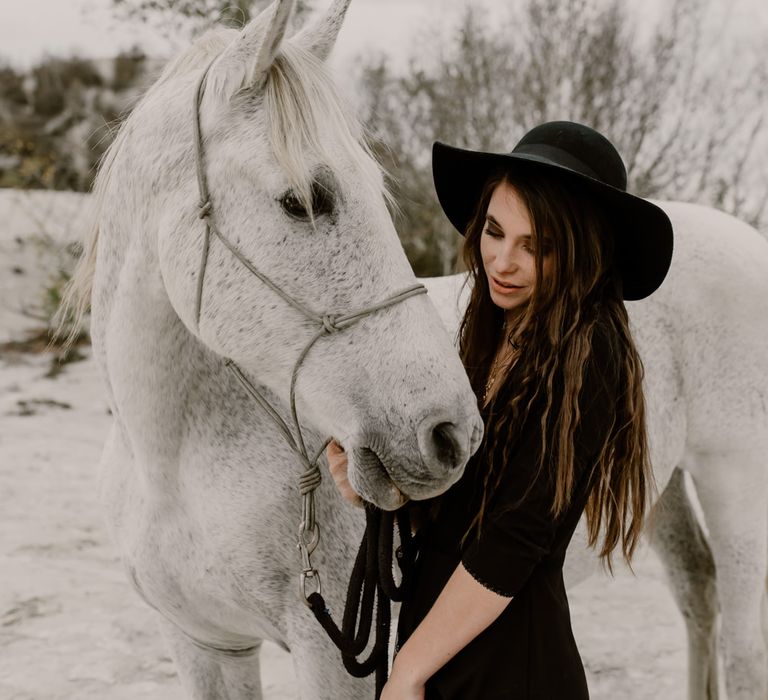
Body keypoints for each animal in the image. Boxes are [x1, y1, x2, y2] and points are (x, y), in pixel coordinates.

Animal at [61, 0, 768, 696]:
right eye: (305, 200)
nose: (453, 434)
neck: (172, 465)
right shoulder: (205, 645)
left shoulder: (331, 660)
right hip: (663, 485)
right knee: (697, 588)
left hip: (735, 487)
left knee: (740, 645)